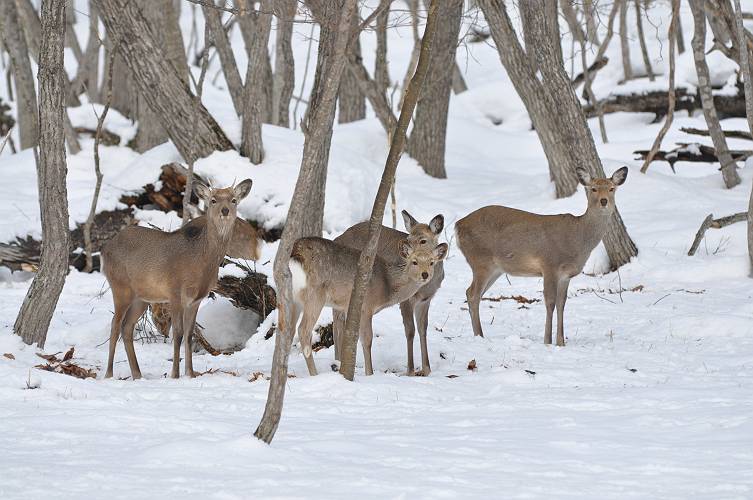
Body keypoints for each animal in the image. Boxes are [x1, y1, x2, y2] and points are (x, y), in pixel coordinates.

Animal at [101, 180, 254, 378]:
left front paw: (190, 373)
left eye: (234, 200)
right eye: (213, 200)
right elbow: (178, 334)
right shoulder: (174, 292)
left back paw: (137, 374)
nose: (225, 210)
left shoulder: (196, 299)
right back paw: (109, 374)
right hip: (120, 286)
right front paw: (175, 374)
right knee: (115, 324)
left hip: (141, 297)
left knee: (126, 327)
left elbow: (189, 335)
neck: (200, 263)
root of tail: (104, 250)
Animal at [284, 236, 444, 376]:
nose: (425, 274)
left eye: (432, 262)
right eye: (414, 262)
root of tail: (296, 253)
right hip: (315, 294)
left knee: (288, 330)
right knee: (303, 330)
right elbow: (367, 339)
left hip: (293, 299)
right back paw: (314, 374)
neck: (387, 286)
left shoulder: (348, 307)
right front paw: (369, 373)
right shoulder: (366, 305)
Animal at [332, 210, 444, 376]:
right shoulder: (406, 300)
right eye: (408, 238)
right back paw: (338, 361)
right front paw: (410, 370)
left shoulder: (426, 300)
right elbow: (410, 330)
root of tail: (337, 238)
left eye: (423, 240)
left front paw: (427, 369)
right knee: (338, 320)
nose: (408, 254)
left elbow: (423, 330)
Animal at [452, 166, 628, 346]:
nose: (604, 201)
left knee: (473, 293)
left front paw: (561, 342)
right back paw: (479, 335)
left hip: (495, 269)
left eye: (612, 188)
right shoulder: (549, 264)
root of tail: (457, 226)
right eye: (593, 189)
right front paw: (547, 341)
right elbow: (550, 302)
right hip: (480, 260)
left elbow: (562, 303)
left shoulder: (565, 275)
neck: (578, 240)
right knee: (473, 294)